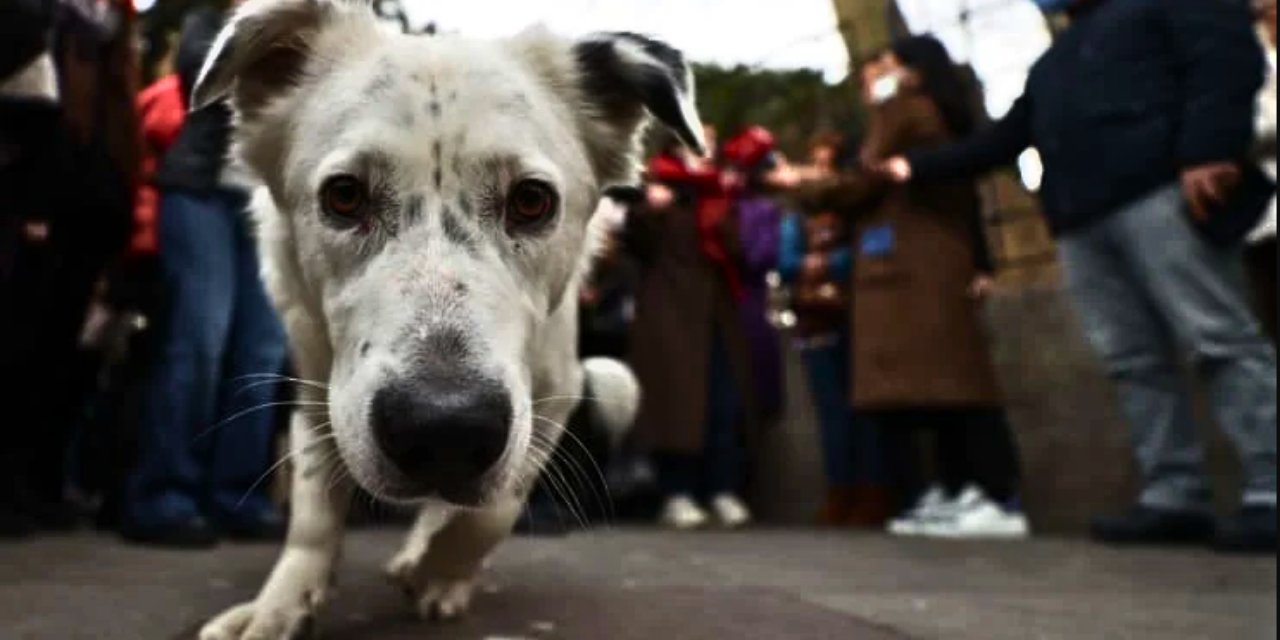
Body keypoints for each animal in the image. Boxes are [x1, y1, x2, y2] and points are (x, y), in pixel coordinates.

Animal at [194, 2, 706, 637]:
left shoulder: (549, 401)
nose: (444, 430)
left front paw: (438, 573)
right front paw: (279, 607)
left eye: (532, 200)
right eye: (344, 195)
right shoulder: (315, 392)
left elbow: (489, 514)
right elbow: (313, 521)